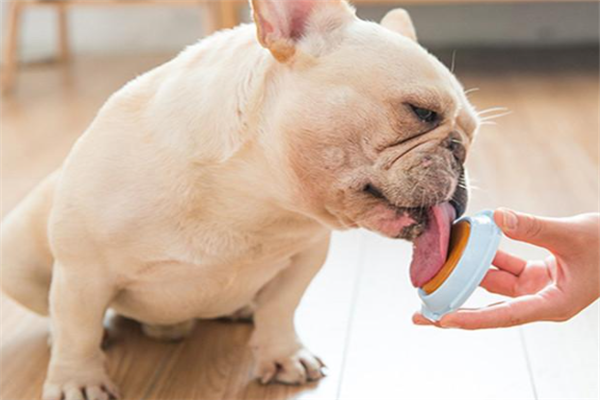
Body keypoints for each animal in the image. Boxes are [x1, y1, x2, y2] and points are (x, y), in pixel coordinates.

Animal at [0, 1, 478, 398]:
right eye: (421, 111)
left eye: (472, 134)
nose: (459, 151)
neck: (257, 196)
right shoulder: (84, 272)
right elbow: (77, 330)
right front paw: (76, 381)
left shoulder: (304, 258)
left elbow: (281, 308)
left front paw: (283, 356)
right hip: (18, 254)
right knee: (61, 315)